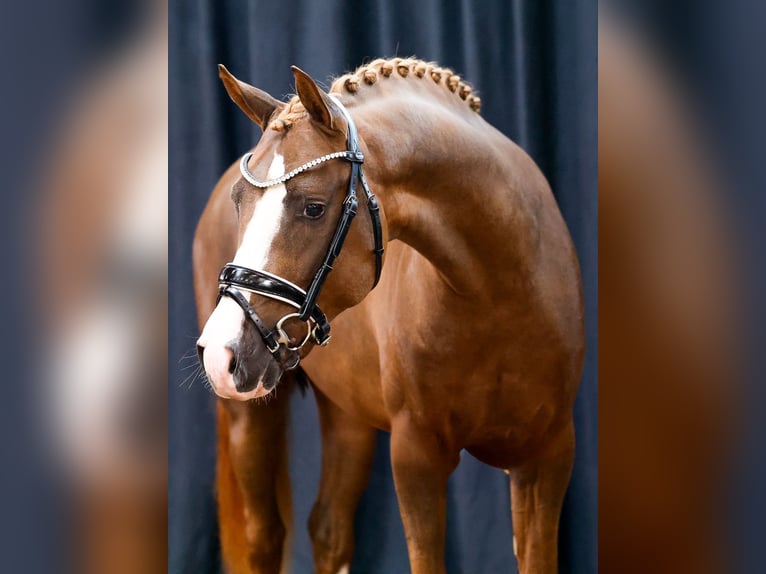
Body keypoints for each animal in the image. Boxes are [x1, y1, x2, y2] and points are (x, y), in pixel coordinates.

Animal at [195, 59, 584, 574]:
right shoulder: (416, 456)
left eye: (313, 207)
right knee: (265, 538)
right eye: (240, 202)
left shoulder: (546, 458)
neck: (498, 295)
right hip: (249, 416)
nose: (220, 351)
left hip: (348, 414)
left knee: (329, 530)